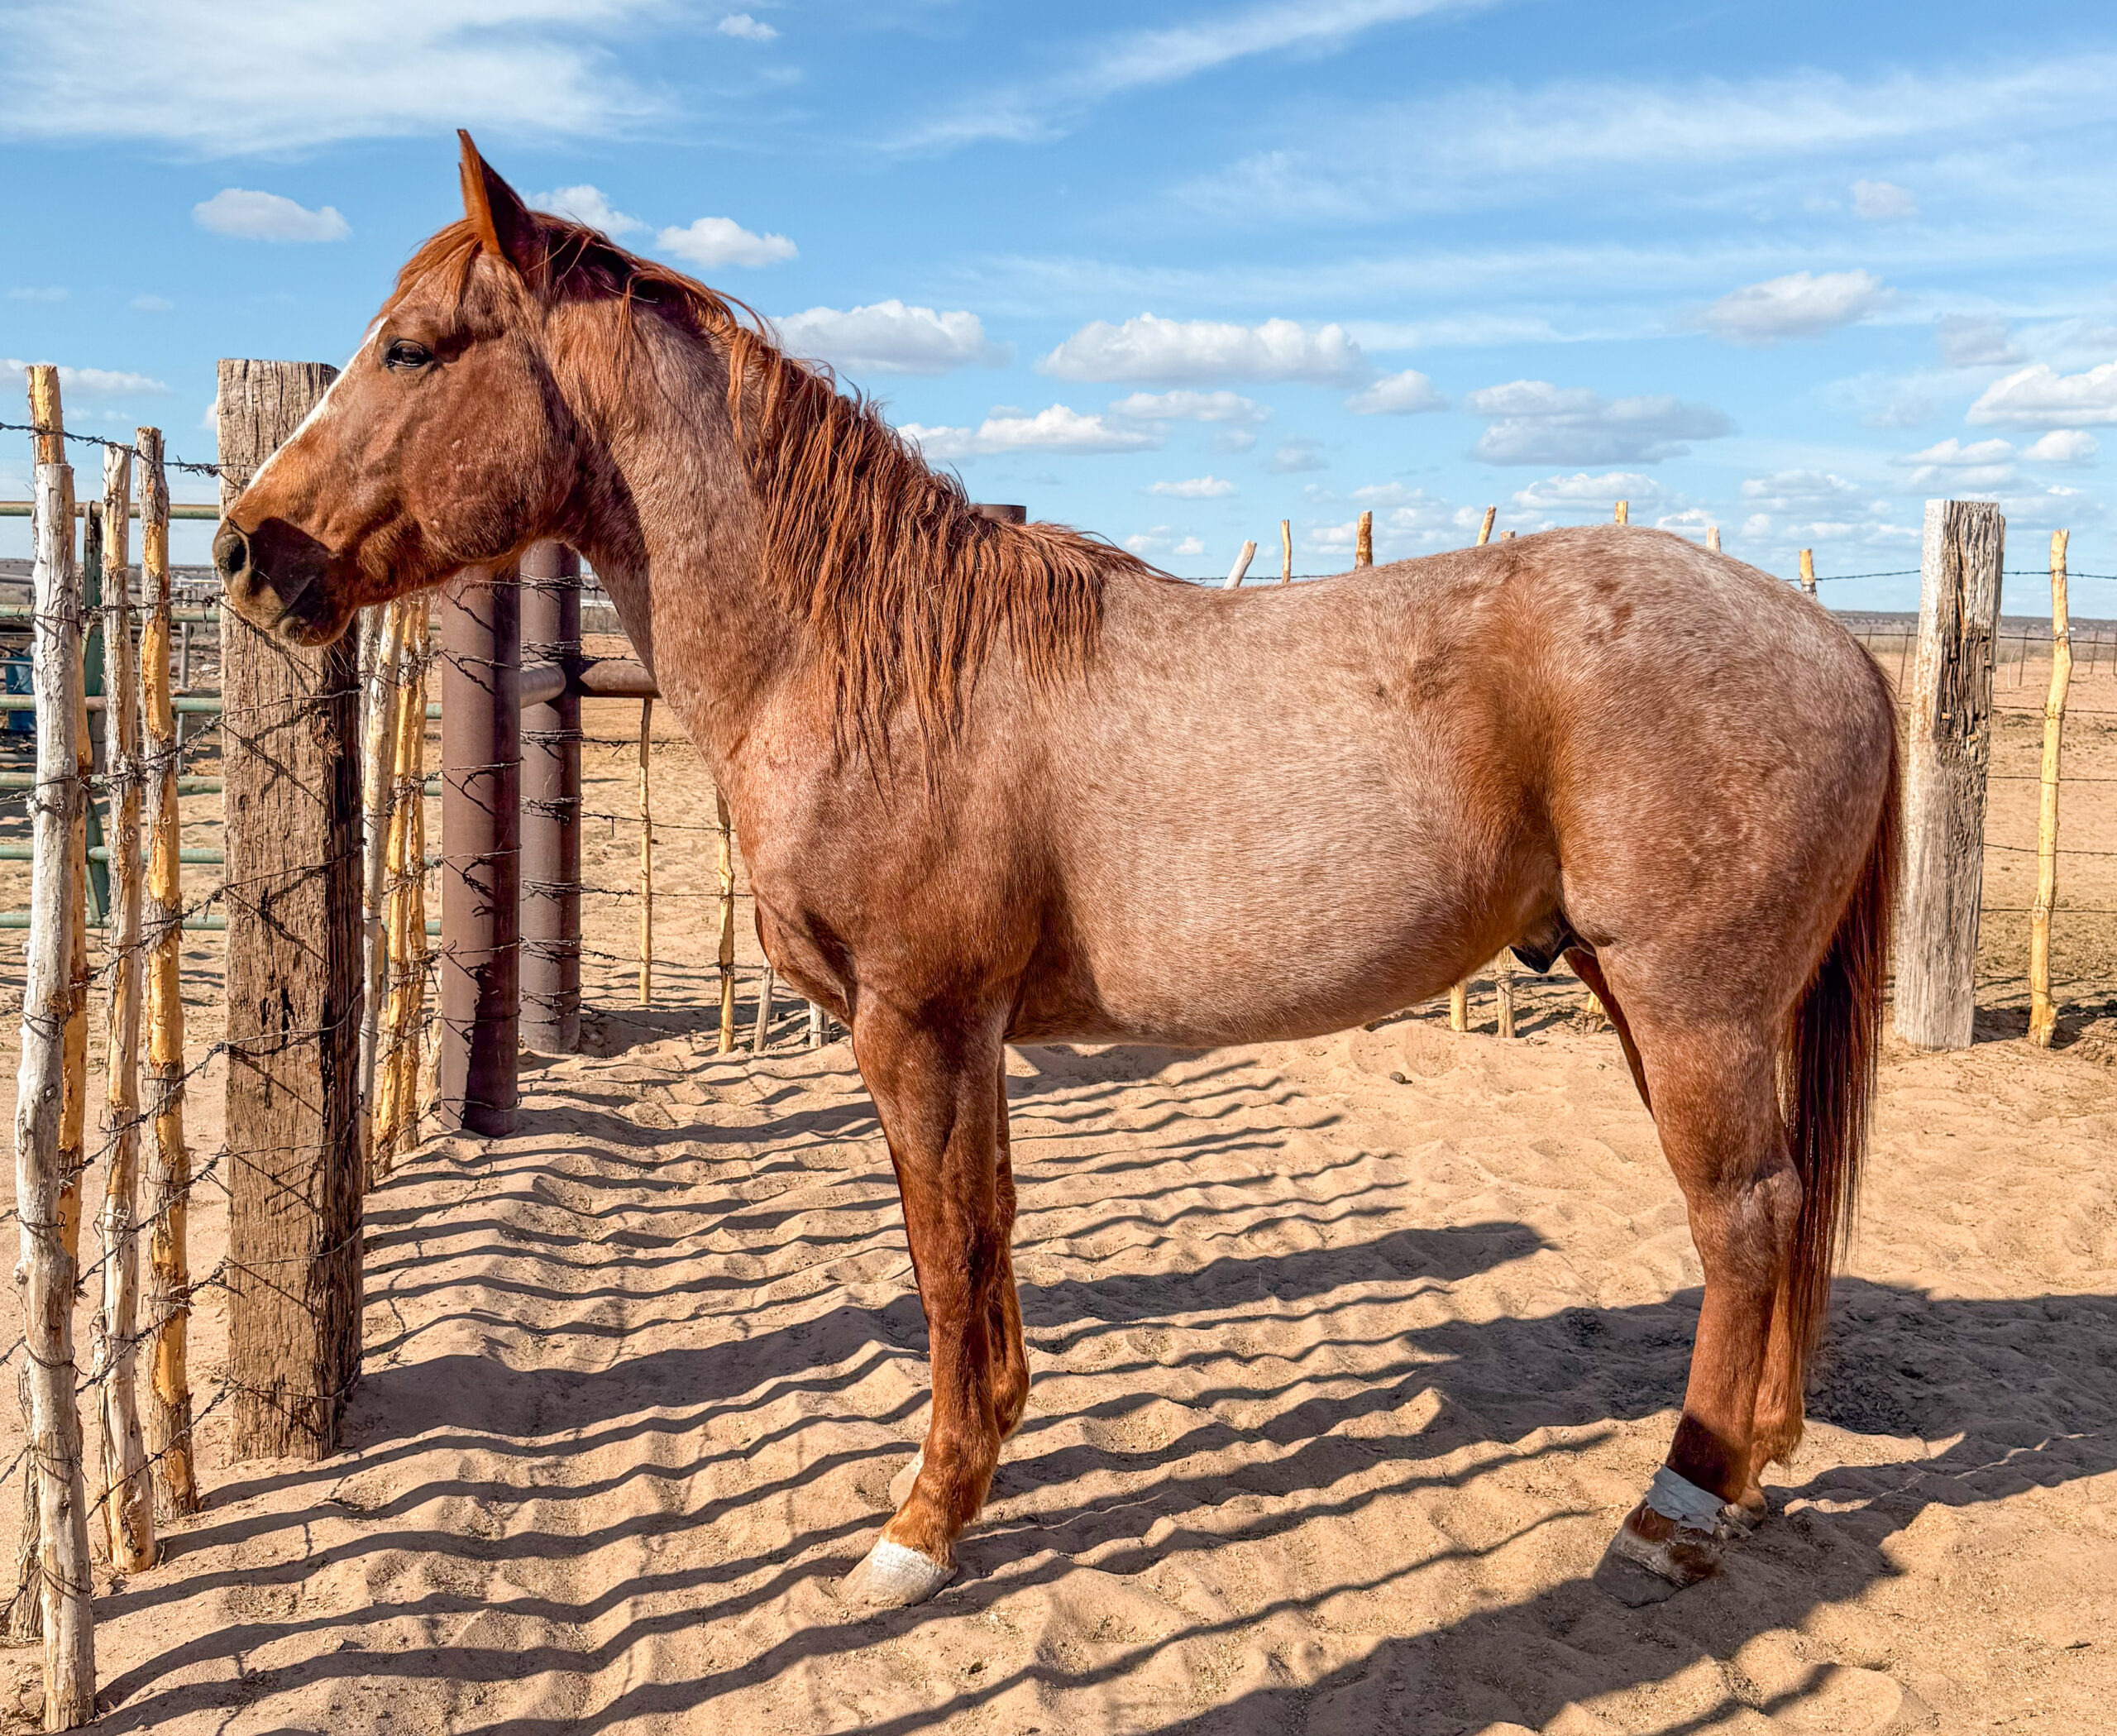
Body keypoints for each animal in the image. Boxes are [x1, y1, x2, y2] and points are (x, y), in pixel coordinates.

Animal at [215, 133, 1899, 1612]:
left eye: (414, 350)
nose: (246, 551)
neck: (864, 658)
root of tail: (1831, 641)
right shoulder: (953, 1037)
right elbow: (978, 1245)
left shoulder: (922, 1023)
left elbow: (952, 1260)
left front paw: (922, 1526)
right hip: (1650, 995)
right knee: (1769, 1214)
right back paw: (1751, 1466)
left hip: (1691, 1005)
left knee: (1745, 1214)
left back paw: (1674, 1507)